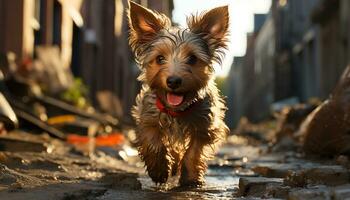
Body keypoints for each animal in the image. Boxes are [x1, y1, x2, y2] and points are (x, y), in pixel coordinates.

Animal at [128, 0, 230, 187]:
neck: (177, 110)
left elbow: (193, 152)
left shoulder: (205, 126)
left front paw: (190, 178)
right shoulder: (148, 116)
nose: (174, 81)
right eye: (160, 58)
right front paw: (159, 169)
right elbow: (153, 140)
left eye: (192, 58)